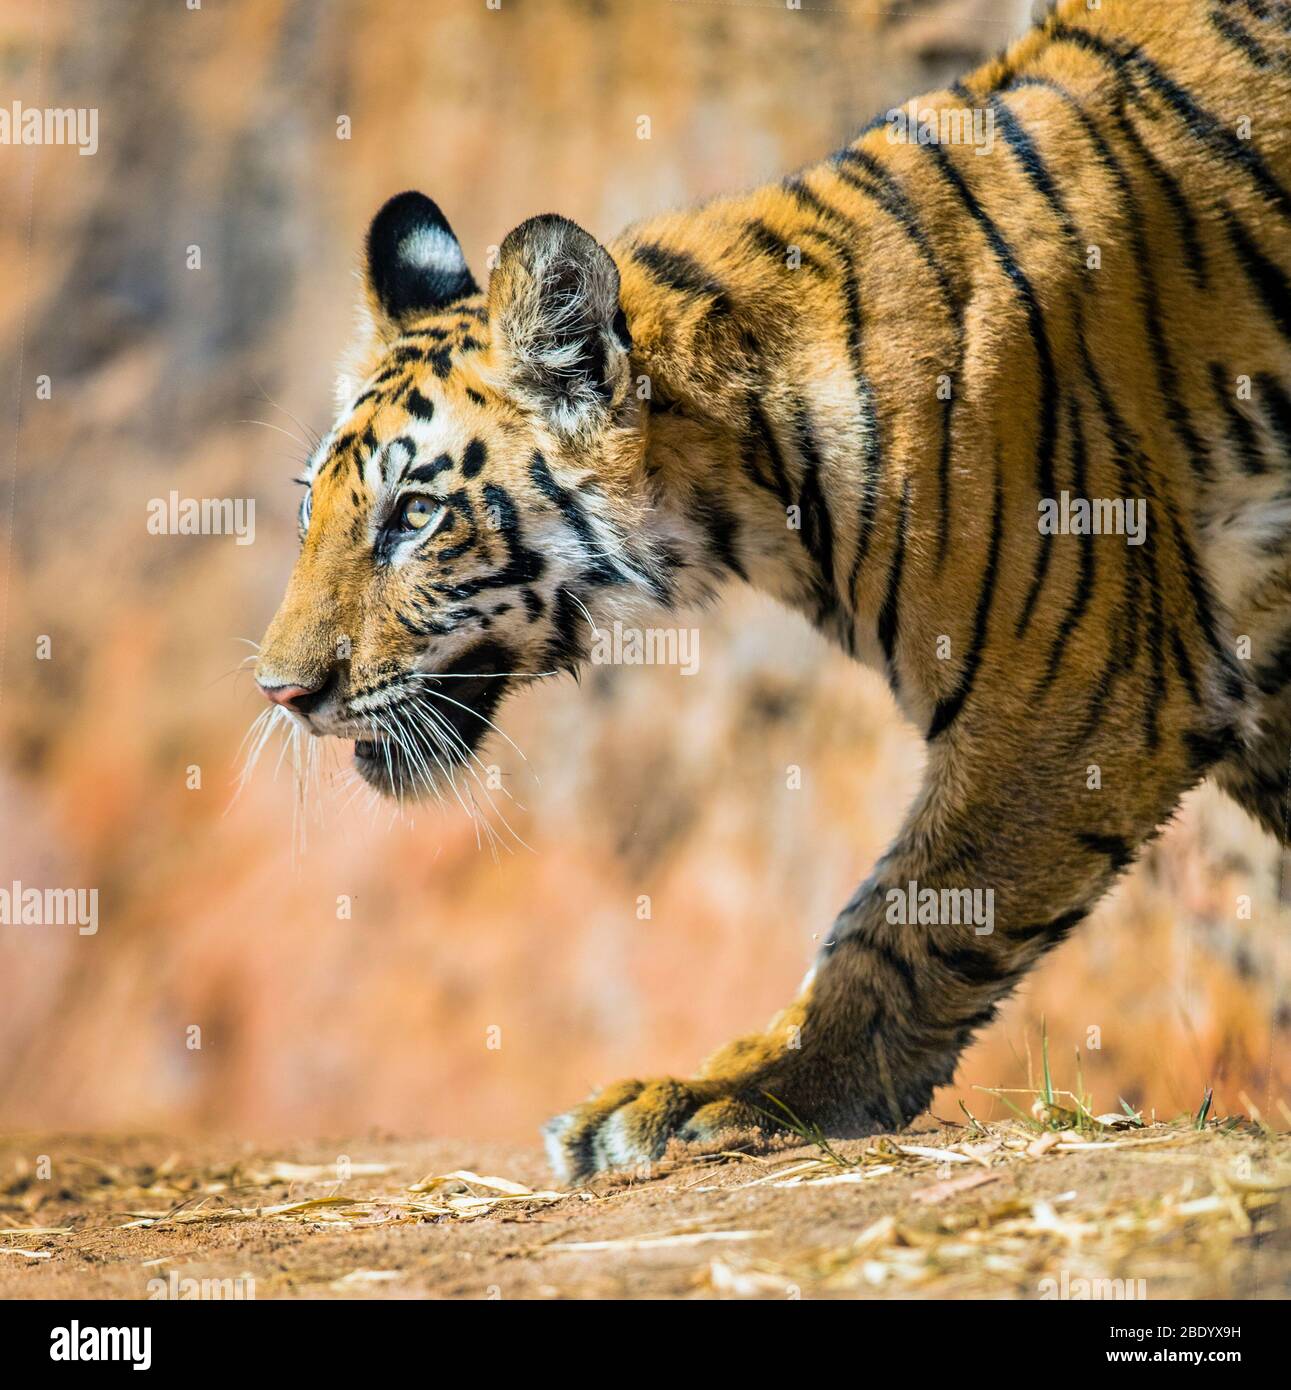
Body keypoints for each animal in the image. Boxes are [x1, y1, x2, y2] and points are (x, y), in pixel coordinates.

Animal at [251, 0, 1289, 1178]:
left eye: (415, 514)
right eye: (312, 508)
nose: (280, 692)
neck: (746, 470)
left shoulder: (1079, 685)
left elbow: (909, 918)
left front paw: (745, 1093)